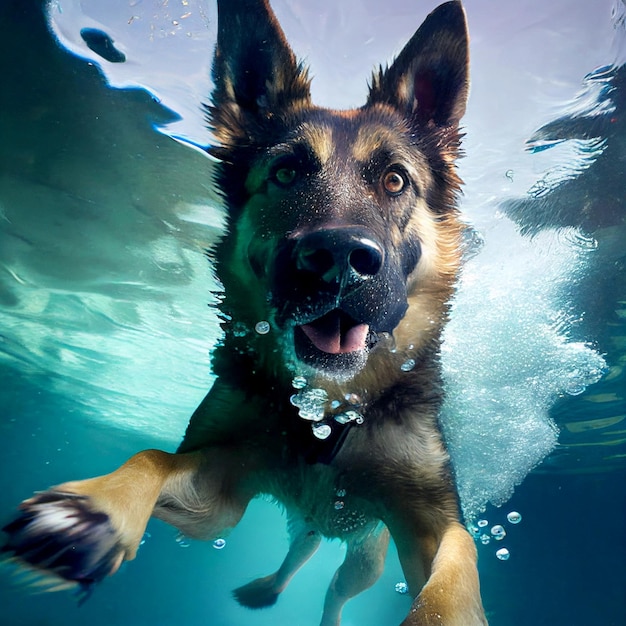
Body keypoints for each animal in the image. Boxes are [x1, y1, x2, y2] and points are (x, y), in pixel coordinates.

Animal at [2, 0, 486, 620]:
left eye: (395, 179)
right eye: (285, 173)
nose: (339, 259)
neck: (325, 414)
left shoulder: (432, 519)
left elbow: (458, 565)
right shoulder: (217, 496)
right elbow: (152, 456)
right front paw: (93, 509)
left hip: (366, 555)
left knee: (336, 585)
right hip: (310, 525)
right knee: (301, 546)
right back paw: (266, 589)